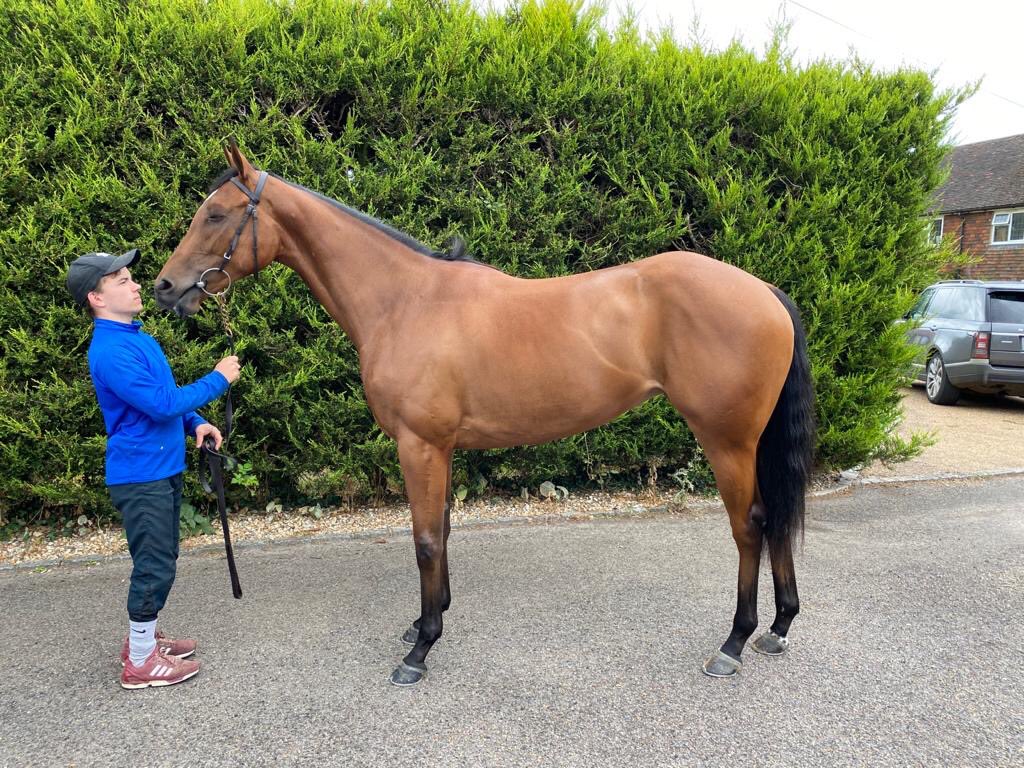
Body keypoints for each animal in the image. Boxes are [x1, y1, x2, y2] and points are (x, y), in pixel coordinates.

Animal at [155, 142, 815, 686]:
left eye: (216, 215)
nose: (165, 288)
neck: (404, 301)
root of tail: (763, 291)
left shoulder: (418, 445)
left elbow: (424, 540)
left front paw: (419, 651)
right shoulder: (440, 448)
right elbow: (442, 532)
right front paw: (426, 620)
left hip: (726, 440)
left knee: (751, 525)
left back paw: (733, 643)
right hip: (748, 443)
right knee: (775, 521)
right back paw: (778, 629)